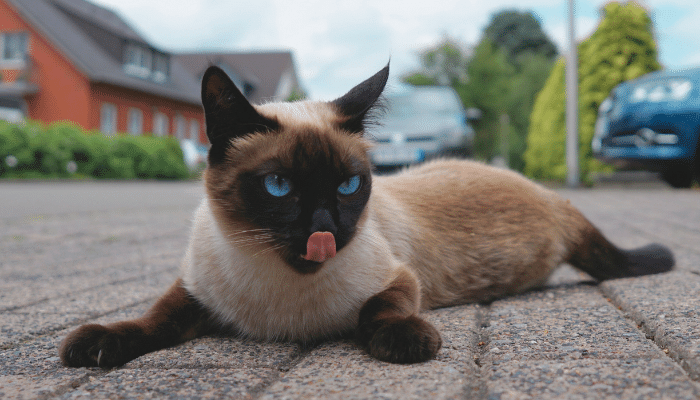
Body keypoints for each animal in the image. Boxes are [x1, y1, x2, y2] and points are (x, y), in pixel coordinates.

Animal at [58, 64, 672, 368]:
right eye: (279, 186)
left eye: (349, 185)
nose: (325, 229)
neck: (280, 302)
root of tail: (549, 194)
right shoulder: (194, 291)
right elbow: (149, 321)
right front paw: (94, 346)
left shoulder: (401, 279)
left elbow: (377, 311)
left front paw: (408, 343)